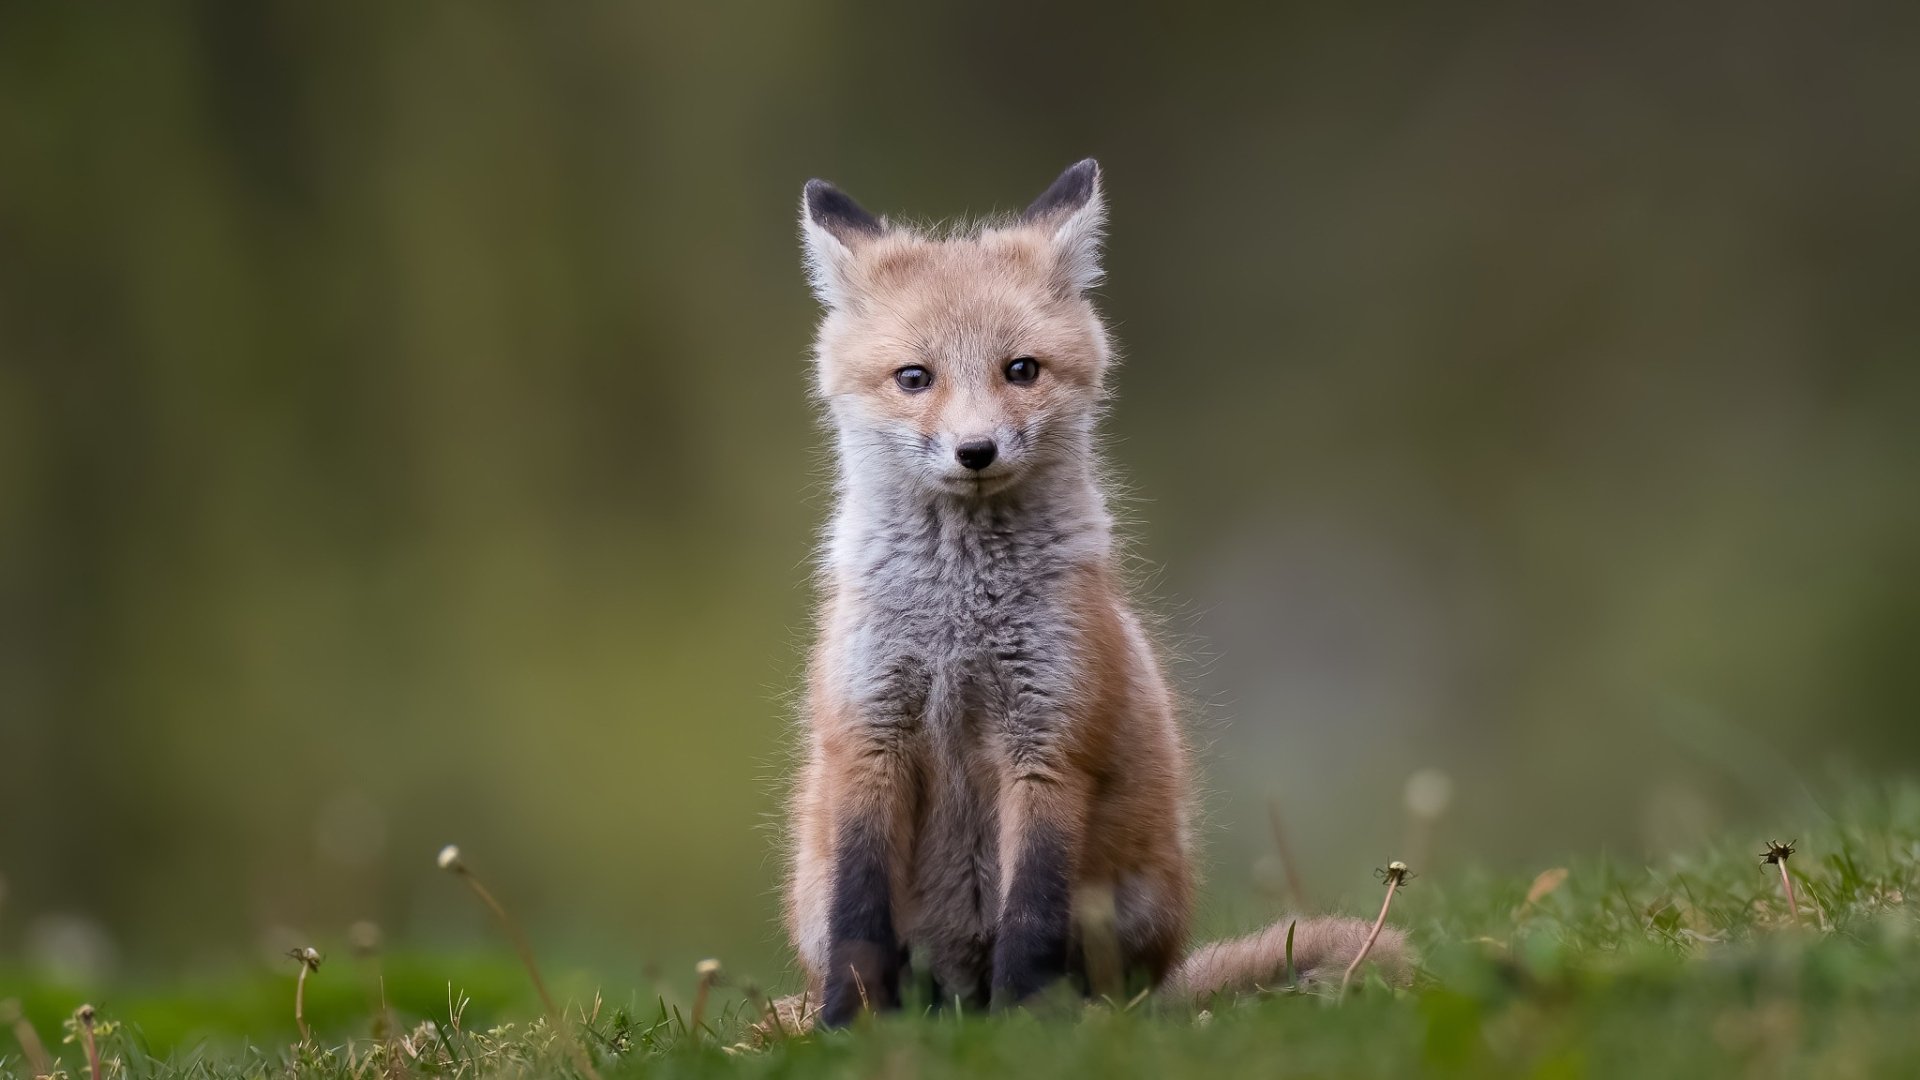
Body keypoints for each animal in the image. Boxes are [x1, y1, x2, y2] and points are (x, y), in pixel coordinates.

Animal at [781, 159, 1408, 1030]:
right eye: (914, 378)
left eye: (1021, 370)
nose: (976, 451)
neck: (957, 620)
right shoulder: (867, 738)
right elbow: (859, 916)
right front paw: (849, 1026)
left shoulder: (1050, 743)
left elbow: (1031, 913)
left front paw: (1026, 1026)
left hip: (1129, 911)